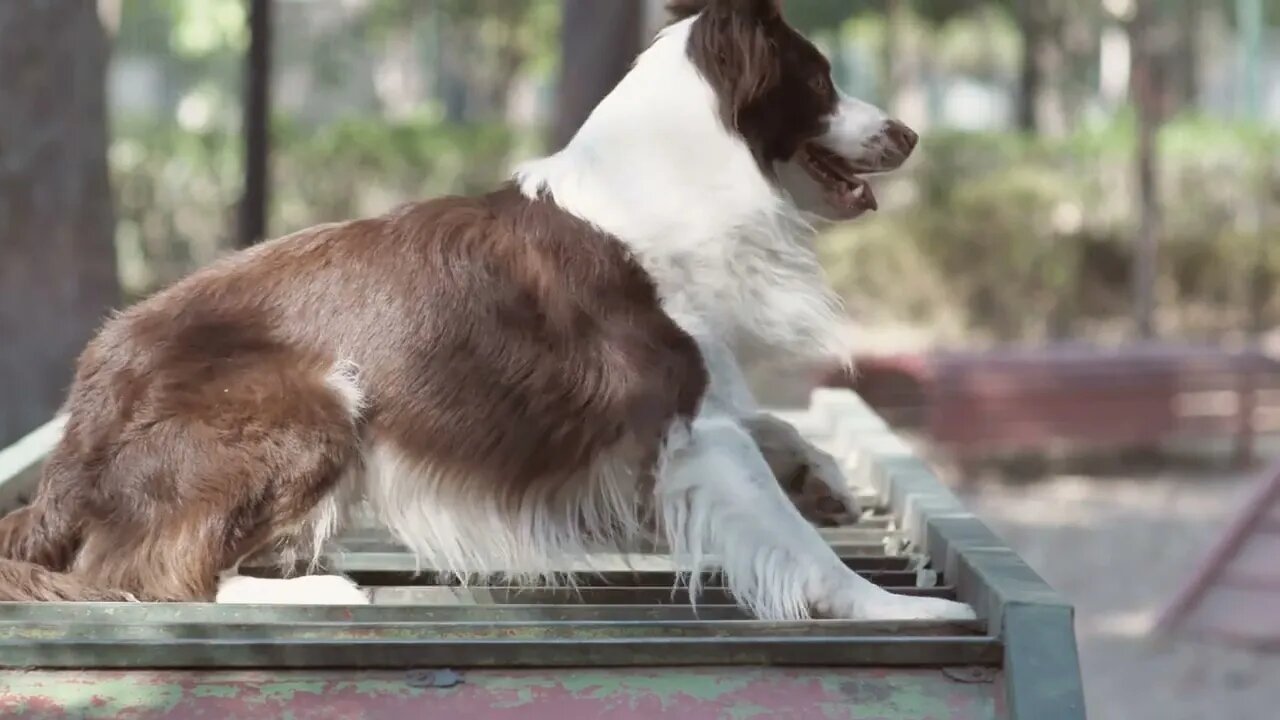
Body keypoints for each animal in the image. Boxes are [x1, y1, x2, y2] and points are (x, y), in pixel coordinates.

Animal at [0, 0, 972, 620]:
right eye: (821, 77)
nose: (912, 134)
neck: (676, 172)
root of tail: (80, 416)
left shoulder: (693, 404)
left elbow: (772, 424)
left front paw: (821, 473)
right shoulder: (687, 426)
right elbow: (789, 533)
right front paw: (890, 606)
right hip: (309, 399)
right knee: (150, 571)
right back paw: (322, 589)